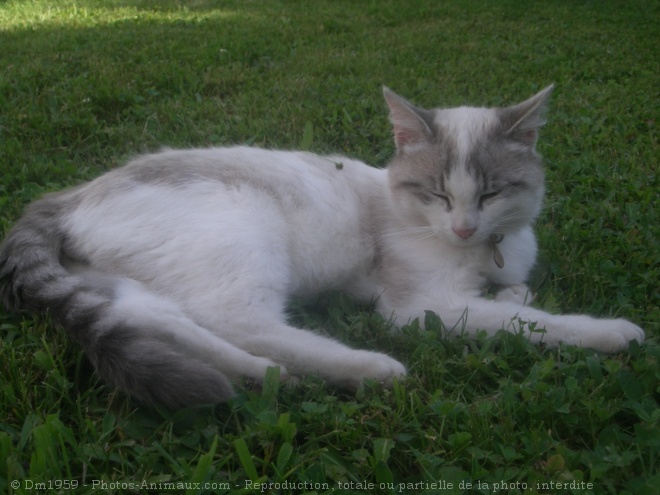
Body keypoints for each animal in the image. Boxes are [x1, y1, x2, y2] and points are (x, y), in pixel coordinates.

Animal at [0, 87, 640, 408]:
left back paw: (263, 375)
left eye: (491, 193)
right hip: (244, 232)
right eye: (435, 194)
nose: (462, 228)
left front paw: (514, 289)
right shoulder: (419, 308)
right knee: (237, 319)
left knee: (152, 316)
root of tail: (68, 194)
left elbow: (515, 298)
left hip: (115, 278)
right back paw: (365, 369)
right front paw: (610, 332)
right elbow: (530, 324)